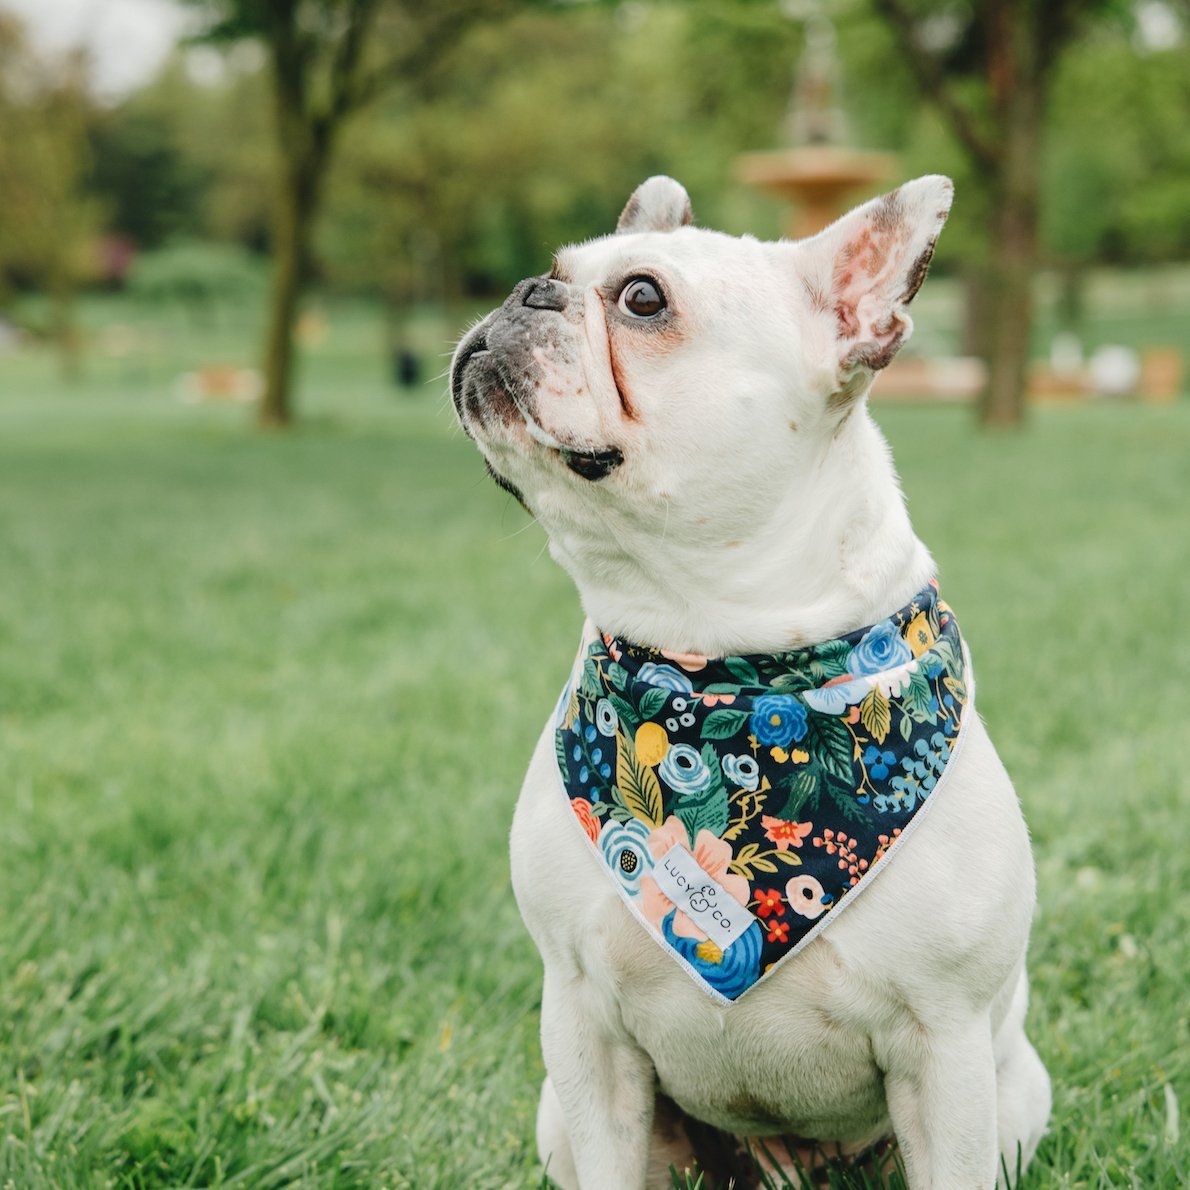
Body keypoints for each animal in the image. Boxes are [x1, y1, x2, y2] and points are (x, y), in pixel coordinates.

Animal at [447, 178, 1051, 1190]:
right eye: (557, 270)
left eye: (642, 298)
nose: (528, 290)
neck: (715, 664)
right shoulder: (583, 1030)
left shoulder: (947, 1046)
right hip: (558, 1116)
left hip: (1014, 1091)